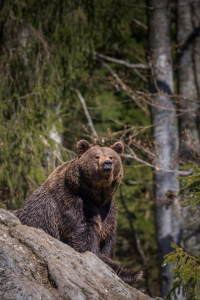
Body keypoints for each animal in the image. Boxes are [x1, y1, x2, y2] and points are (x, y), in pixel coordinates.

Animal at [17, 139, 142, 284]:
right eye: (96, 156)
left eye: (112, 157)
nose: (107, 163)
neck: (95, 195)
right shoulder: (72, 204)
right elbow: (84, 240)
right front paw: (132, 273)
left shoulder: (108, 210)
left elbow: (107, 238)